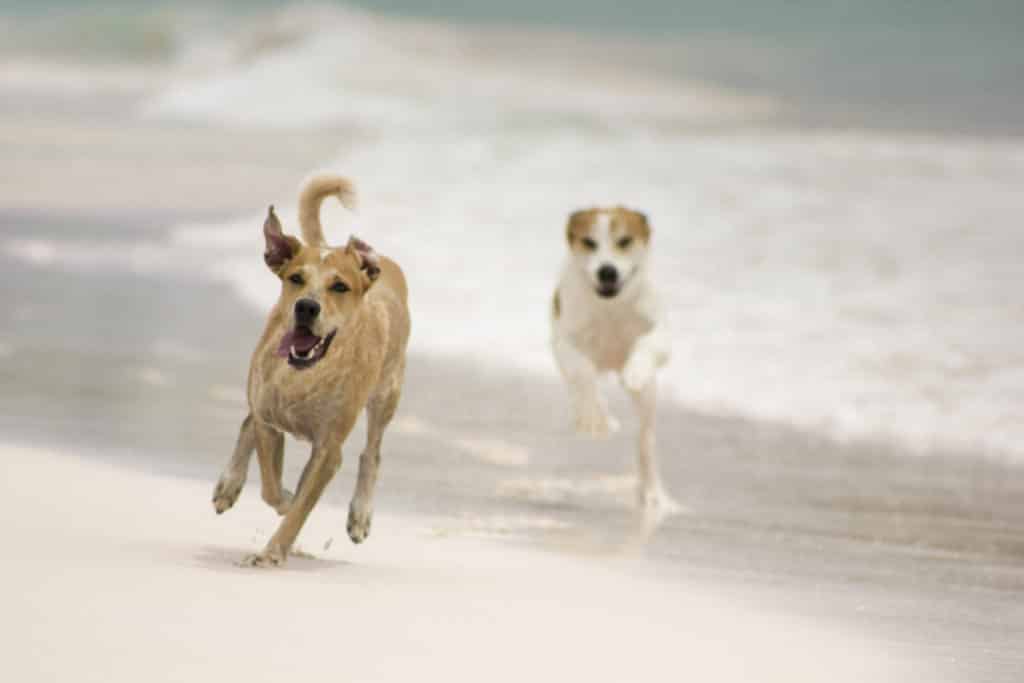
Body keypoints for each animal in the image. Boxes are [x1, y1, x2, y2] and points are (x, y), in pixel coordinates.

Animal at [211, 175, 411, 565]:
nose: (306, 307)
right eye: (295, 278)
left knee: (372, 450)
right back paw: (229, 484)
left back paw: (360, 514)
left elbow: (304, 504)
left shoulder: (329, 449)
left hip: (388, 391)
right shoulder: (270, 421)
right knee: (248, 421)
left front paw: (273, 551)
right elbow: (271, 484)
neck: (304, 376)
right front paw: (283, 499)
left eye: (340, 286)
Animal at [552, 205, 679, 516]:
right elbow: (582, 371)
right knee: (579, 387)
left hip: (648, 404)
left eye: (624, 241)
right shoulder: (563, 341)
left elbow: (648, 344)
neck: (611, 307)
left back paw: (653, 493)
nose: (607, 271)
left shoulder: (661, 332)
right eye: (589, 242)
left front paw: (634, 373)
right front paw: (596, 421)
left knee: (645, 439)